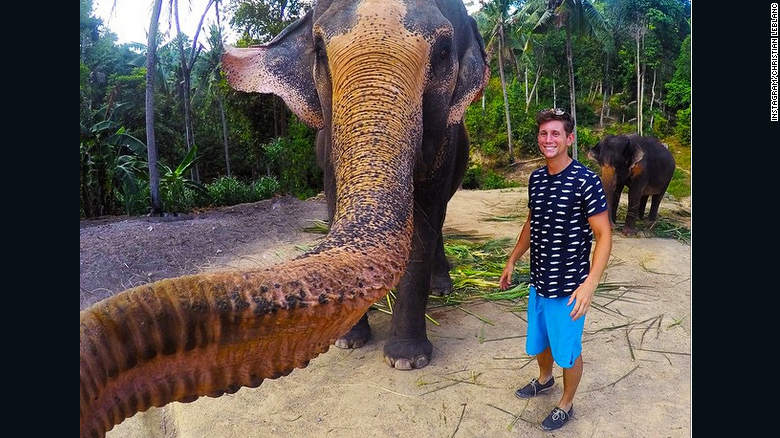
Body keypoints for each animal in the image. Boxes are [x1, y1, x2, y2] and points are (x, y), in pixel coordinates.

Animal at [79, 1, 489, 437]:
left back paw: (442, 288)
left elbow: (425, 218)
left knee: (440, 217)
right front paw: (348, 342)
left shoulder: (444, 142)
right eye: (320, 51)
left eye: (442, 52)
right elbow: (333, 202)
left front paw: (406, 360)